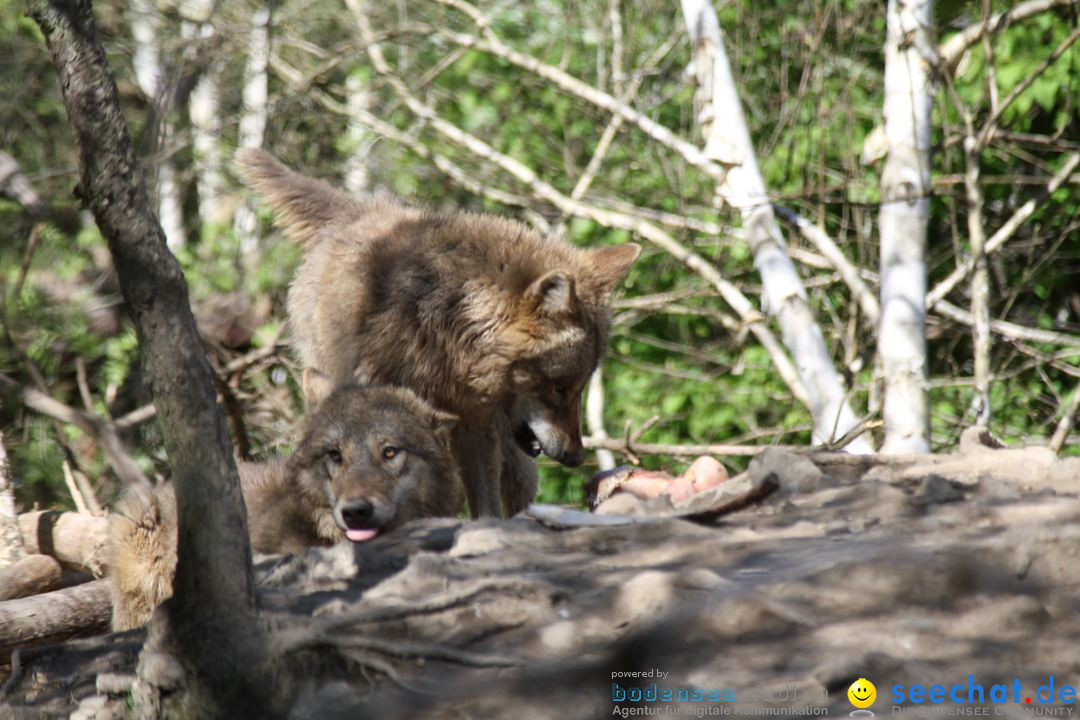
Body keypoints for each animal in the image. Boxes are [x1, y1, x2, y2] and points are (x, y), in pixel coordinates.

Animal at [236, 148, 639, 515]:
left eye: (578, 388)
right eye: (559, 389)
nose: (575, 457)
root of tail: (357, 209)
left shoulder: (475, 428)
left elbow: (484, 507)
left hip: (509, 450)